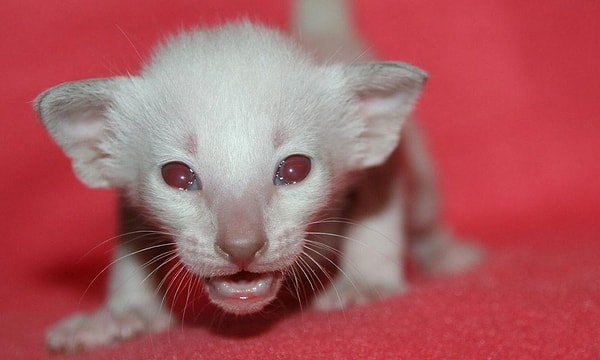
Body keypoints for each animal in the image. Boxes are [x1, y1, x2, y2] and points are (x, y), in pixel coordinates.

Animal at [36, 0, 478, 352]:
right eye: (177, 176)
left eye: (295, 169)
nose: (242, 248)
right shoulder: (130, 200)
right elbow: (132, 251)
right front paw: (123, 313)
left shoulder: (384, 166)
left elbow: (376, 219)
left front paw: (363, 283)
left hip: (422, 183)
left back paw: (445, 254)